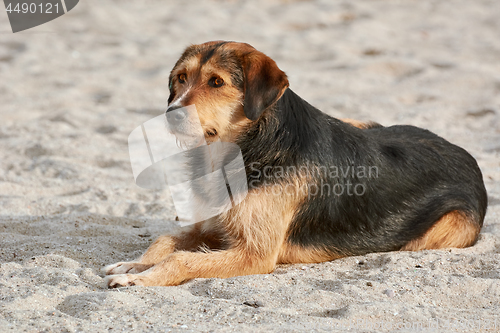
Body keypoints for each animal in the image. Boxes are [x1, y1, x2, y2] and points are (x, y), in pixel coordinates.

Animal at [104, 40, 484, 286]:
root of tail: (467, 156)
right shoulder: (215, 226)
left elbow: (180, 256)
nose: (170, 114)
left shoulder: (255, 254)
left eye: (216, 82)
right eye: (181, 77)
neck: (244, 148)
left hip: (439, 232)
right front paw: (134, 264)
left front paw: (143, 277)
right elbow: (165, 241)